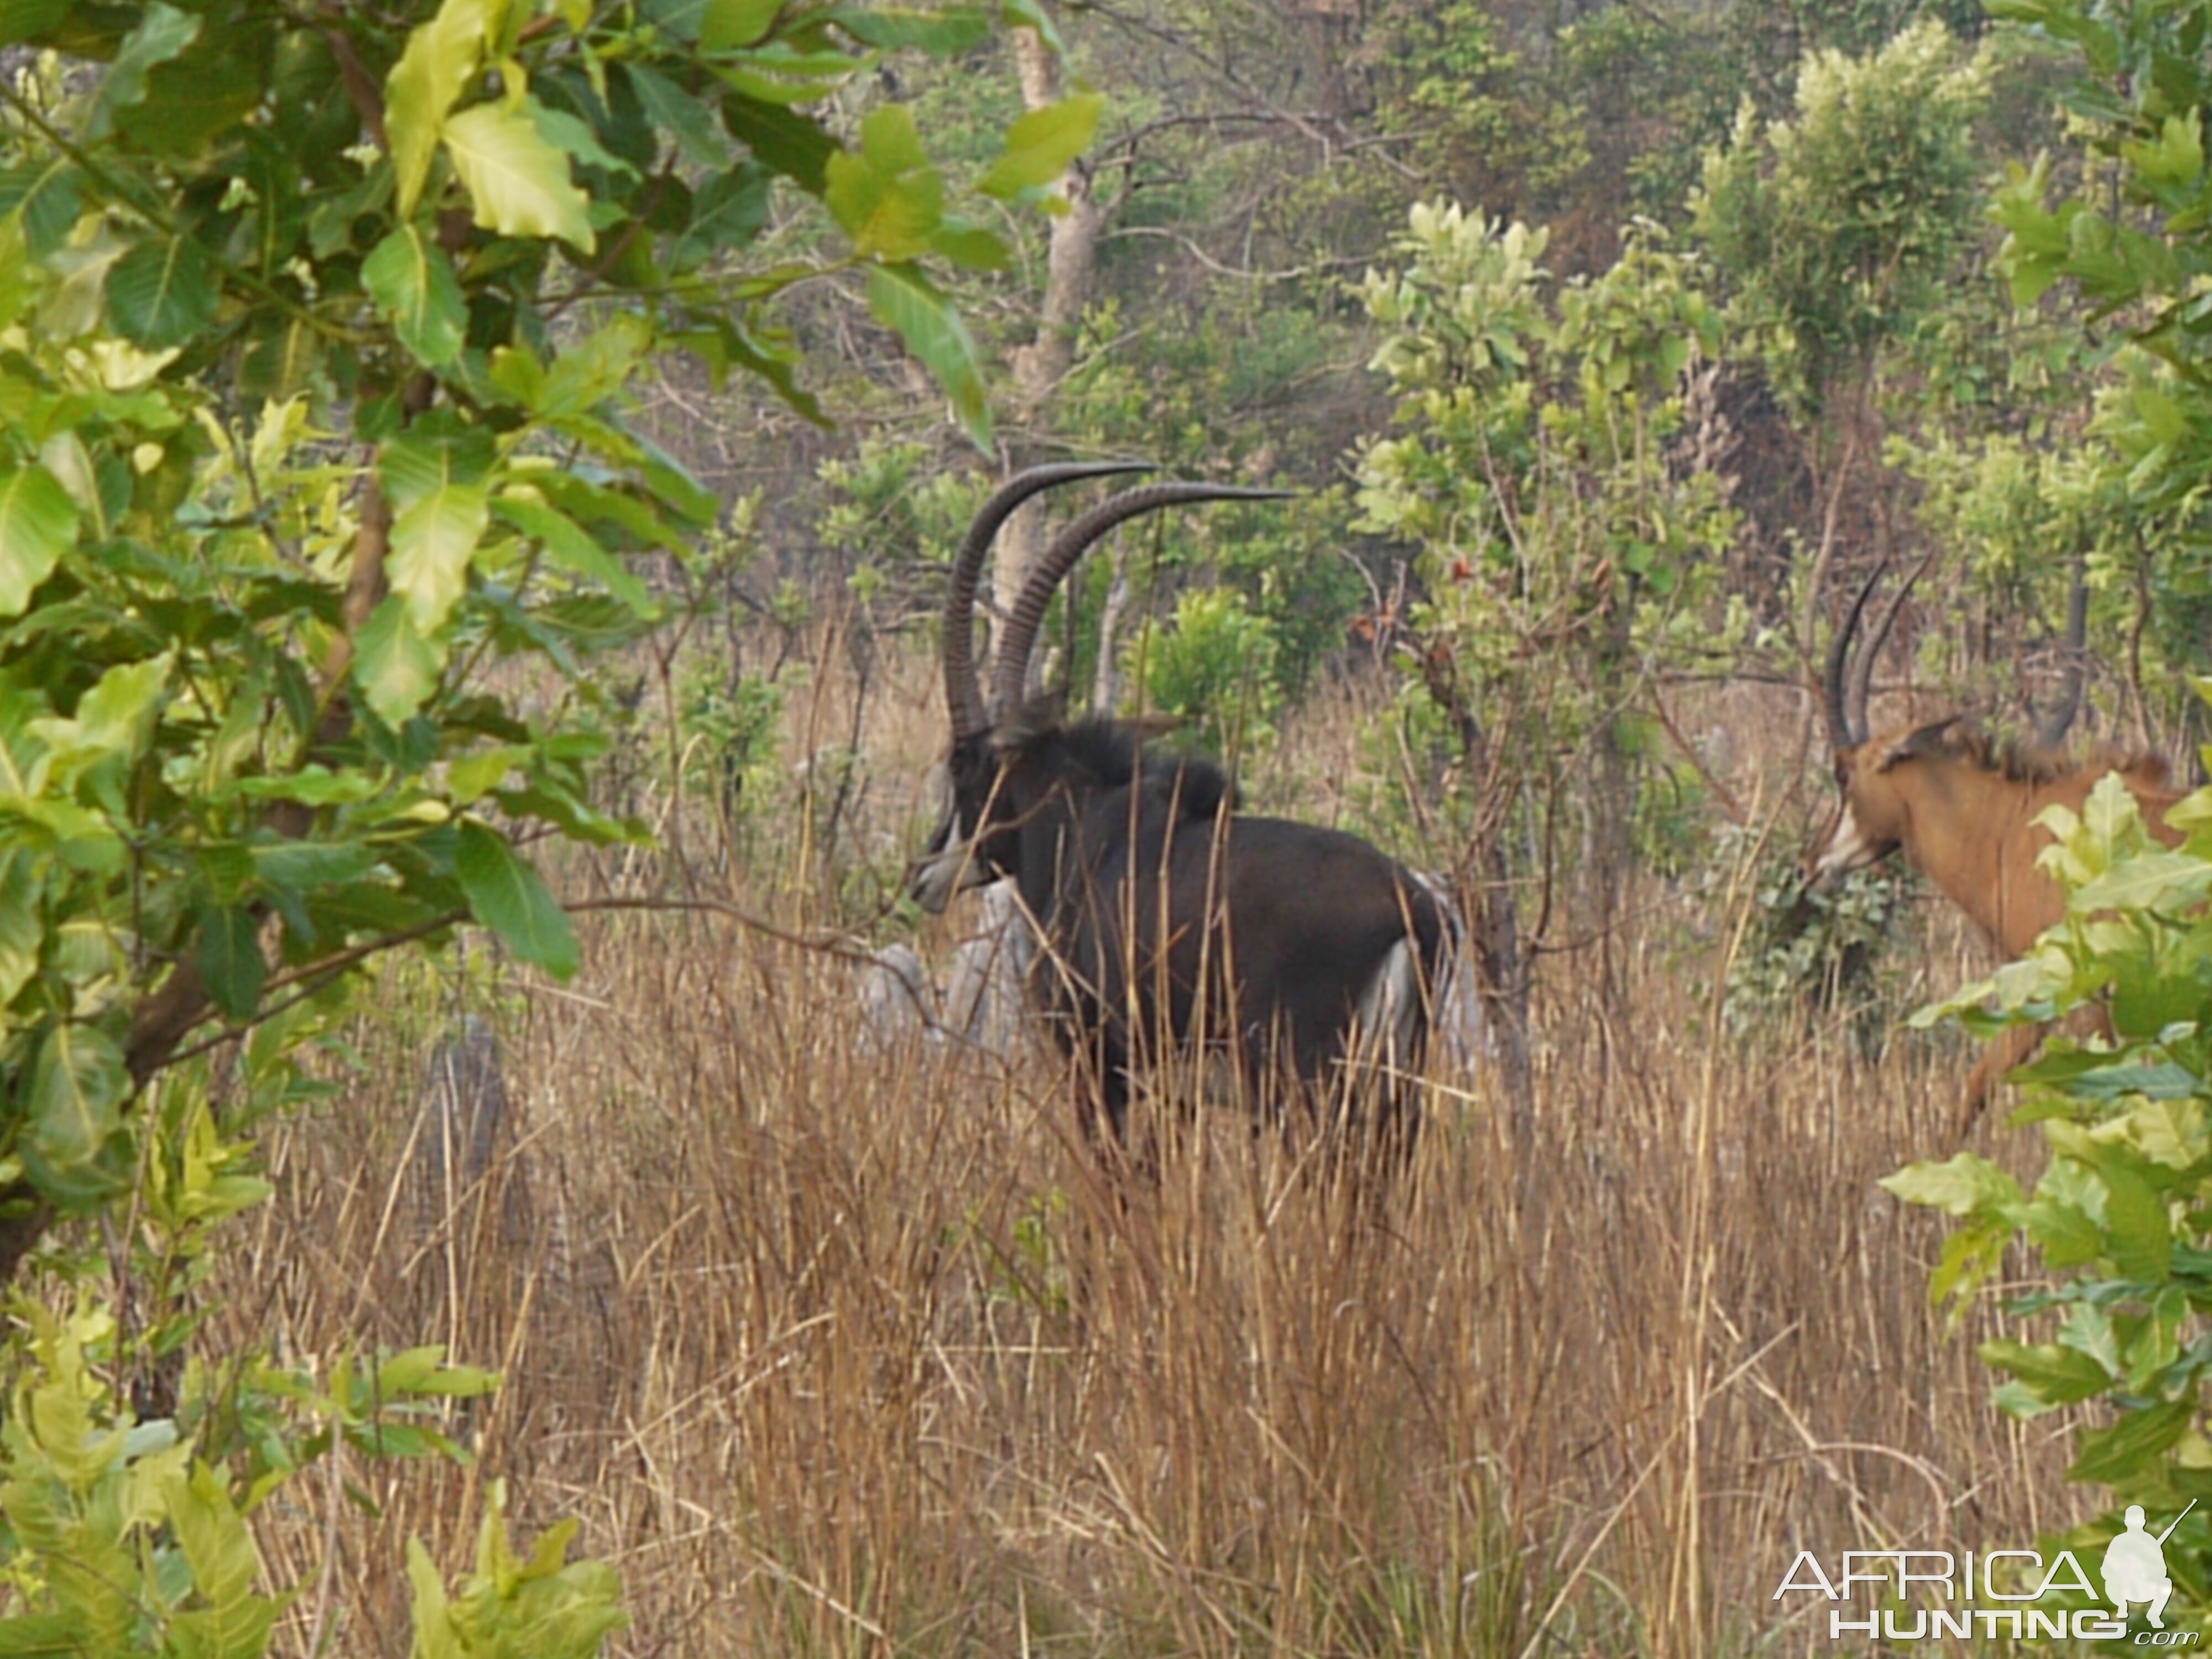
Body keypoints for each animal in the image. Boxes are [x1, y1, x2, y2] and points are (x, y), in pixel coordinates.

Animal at [902, 465, 1451, 1141]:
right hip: (1396, 1088)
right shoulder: (1174, 1096)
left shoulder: (1098, 1067)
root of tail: (1415, 913)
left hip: (1307, 1083)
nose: (923, 874)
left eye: (961, 763)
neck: (1079, 833)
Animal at [1814, 566, 2177, 1141]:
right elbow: (1979, 1086)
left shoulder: (2077, 996)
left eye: (1843, 773)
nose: (1817, 862)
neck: (2008, 827)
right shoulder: (2038, 997)